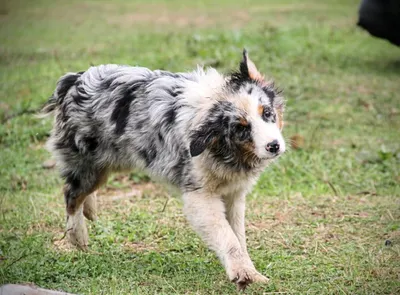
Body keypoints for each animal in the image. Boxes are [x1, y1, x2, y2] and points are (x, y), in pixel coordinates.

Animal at [42, 49, 286, 290]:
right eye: (241, 128)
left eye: (267, 113)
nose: (274, 146)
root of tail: (73, 80)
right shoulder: (200, 198)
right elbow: (227, 236)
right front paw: (242, 273)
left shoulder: (234, 193)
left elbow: (238, 235)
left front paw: (252, 273)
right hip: (88, 164)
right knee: (71, 194)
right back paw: (78, 236)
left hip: (108, 163)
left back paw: (90, 209)